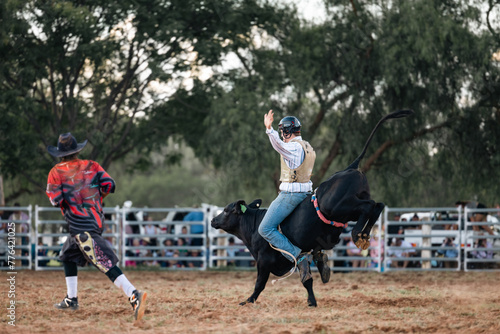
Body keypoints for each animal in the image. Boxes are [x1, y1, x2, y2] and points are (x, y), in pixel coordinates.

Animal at [211, 109, 414, 306]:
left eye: (227, 210)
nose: (213, 220)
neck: (255, 226)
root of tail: (349, 168)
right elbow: (306, 279)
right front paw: (312, 300)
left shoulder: (264, 260)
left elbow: (260, 284)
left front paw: (247, 301)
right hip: (348, 210)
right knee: (377, 205)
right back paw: (363, 235)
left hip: (339, 207)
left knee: (369, 207)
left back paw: (358, 234)